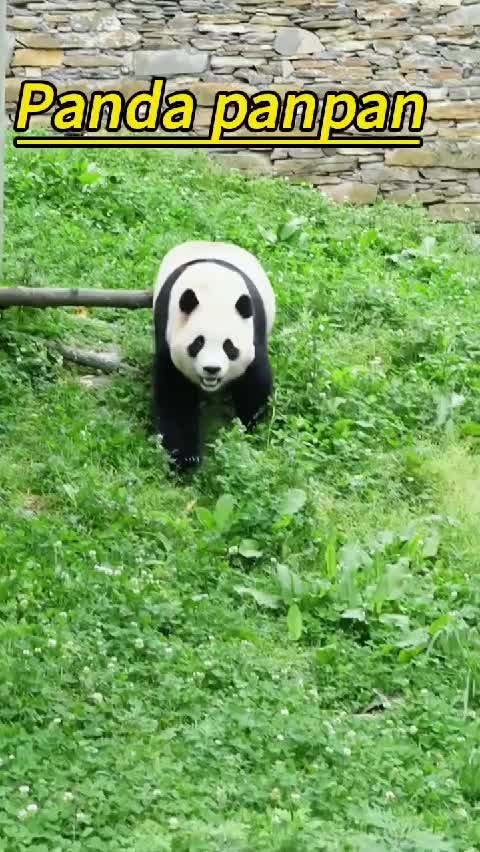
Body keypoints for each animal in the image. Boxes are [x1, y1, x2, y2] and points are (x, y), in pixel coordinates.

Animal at [152, 240, 276, 471]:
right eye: (198, 343)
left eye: (229, 347)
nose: (212, 369)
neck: (214, 294)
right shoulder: (167, 331)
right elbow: (175, 396)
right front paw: (185, 459)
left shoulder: (254, 330)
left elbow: (255, 380)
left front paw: (248, 426)